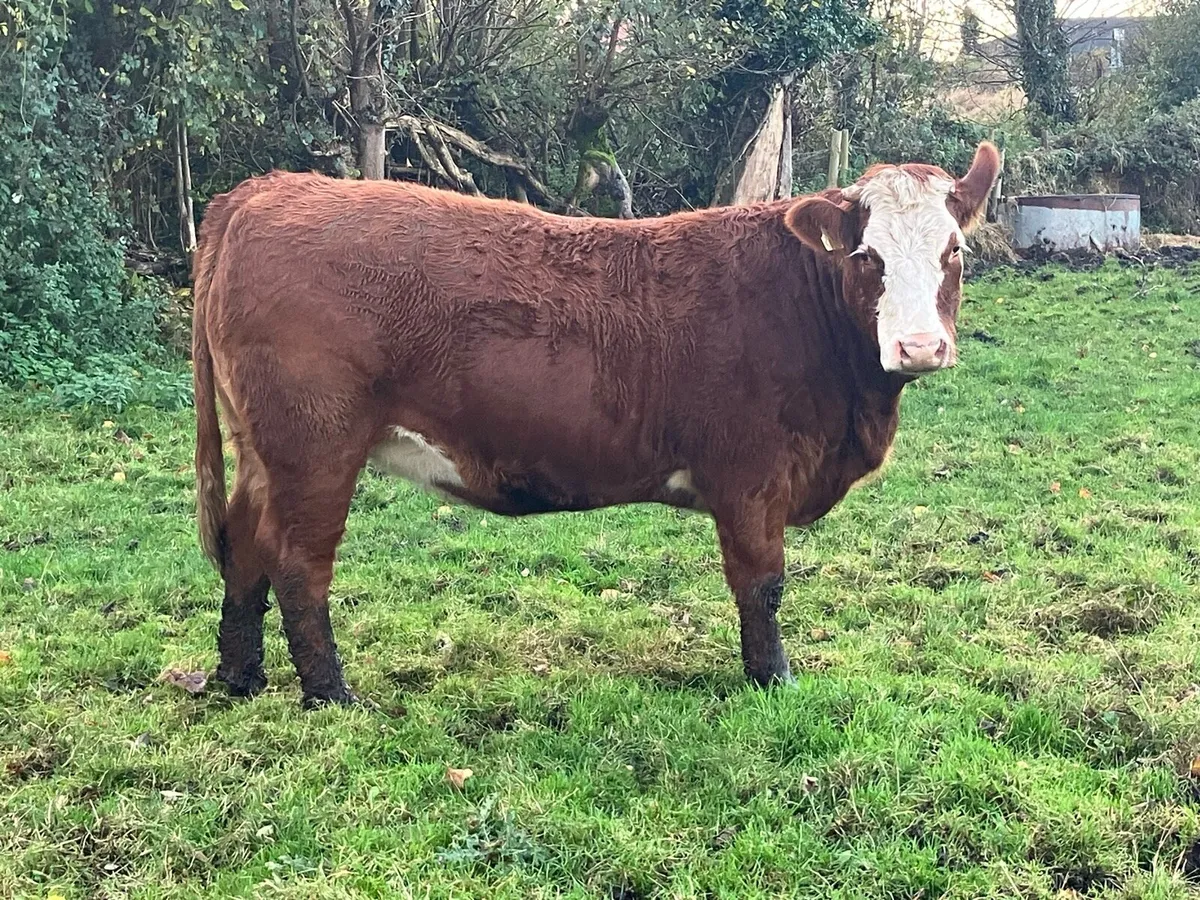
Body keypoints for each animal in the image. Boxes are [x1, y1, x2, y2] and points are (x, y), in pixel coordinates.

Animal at [192, 142, 1001, 707]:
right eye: (867, 256)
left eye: (954, 252)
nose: (920, 347)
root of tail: (266, 189)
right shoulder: (751, 477)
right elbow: (762, 585)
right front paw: (773, 680)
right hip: (315, 449)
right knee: (298, 562)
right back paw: (330, 695)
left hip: (266, 452)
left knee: (244, 545)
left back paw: (239, 676)